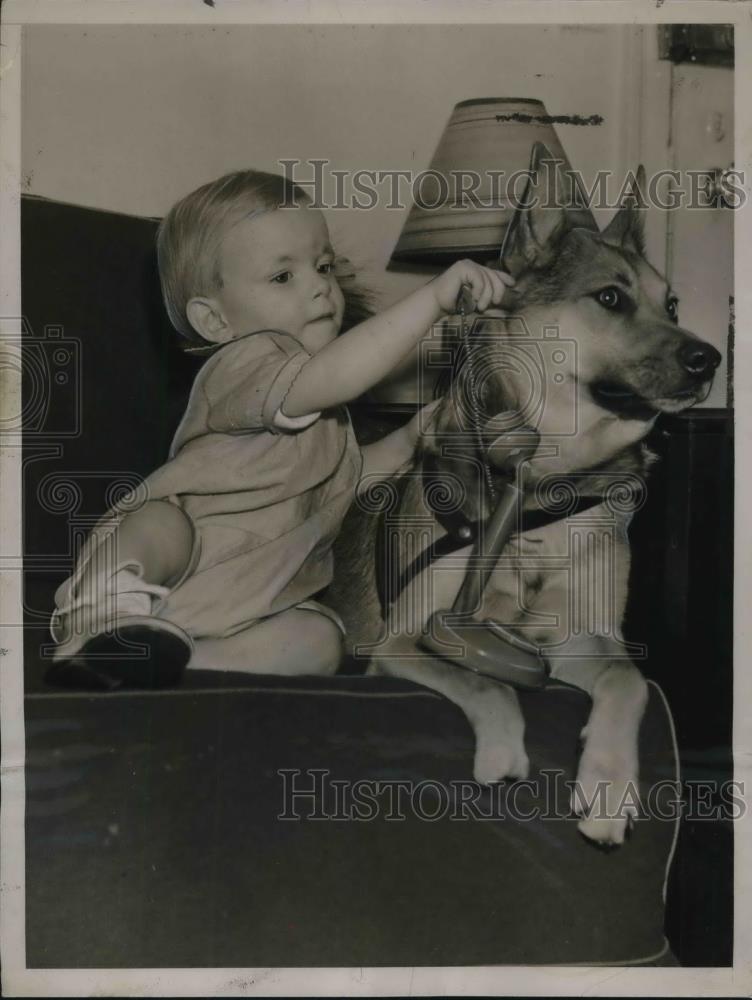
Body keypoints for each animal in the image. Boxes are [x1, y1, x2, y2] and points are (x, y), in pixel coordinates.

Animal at [330, 154, 724, 844]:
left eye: (672, 304)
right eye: (610, 297)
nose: (711, 359)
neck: (546, 487)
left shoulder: (580, 639)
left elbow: (630, 679)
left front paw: (609, 786)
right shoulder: (403, 641)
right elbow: (490, 686)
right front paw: (503, 753)